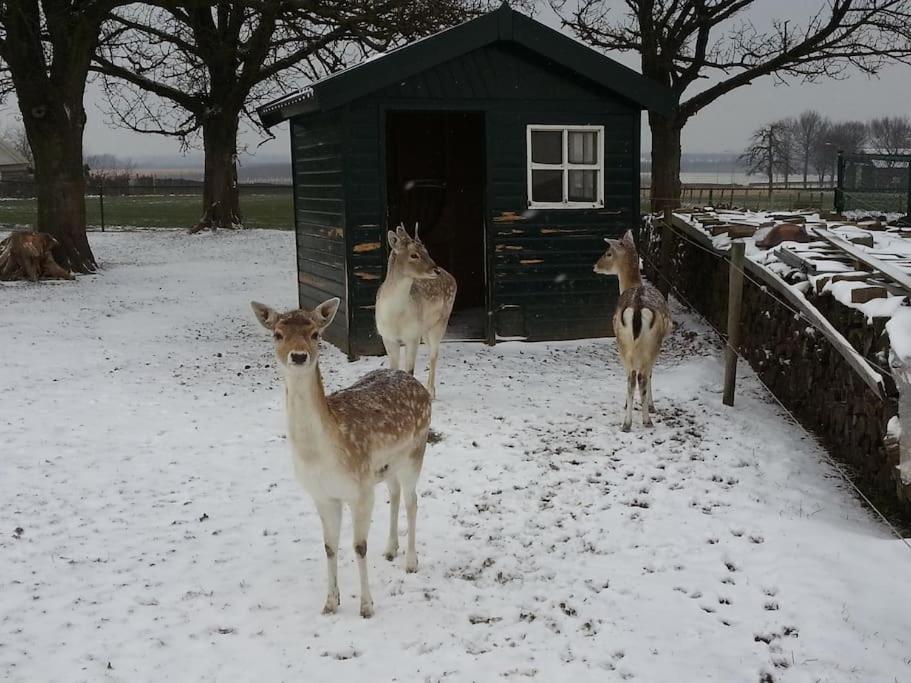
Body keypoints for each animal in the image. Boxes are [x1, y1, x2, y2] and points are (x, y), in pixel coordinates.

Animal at [251, 296, 432, 616]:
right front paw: (330, 603)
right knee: (395, 494)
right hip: (387, 467)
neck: (322, 455)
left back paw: (411, 562)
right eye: (277, 334)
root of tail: (412, 380)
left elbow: (359, 546)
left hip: (416, 452)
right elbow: (329, 547)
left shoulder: (360, 492)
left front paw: (366, 606)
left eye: (315, 334)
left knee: (412, 501)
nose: (299, 356)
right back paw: (390, 549)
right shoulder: (323, 495)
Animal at [374, 223, 456, 400]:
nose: (436, 270)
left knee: (434, 355)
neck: (395, 317)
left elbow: (409, 371)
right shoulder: (387, 336)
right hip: (424, 329)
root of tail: (451, 276)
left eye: (427, 251)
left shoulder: (412, 335)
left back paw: (430, 392)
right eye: (414, 255)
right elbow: (393, 369)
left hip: (440, 322)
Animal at [596, 231, 672, 432]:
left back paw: (628, 423)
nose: (595, 266)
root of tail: (637, 308)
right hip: (649, 345)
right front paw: (650, 407)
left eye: (608, 253)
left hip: (625, 343)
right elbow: (649, 374)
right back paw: (645, 420)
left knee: (632, 378)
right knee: (641, 377)